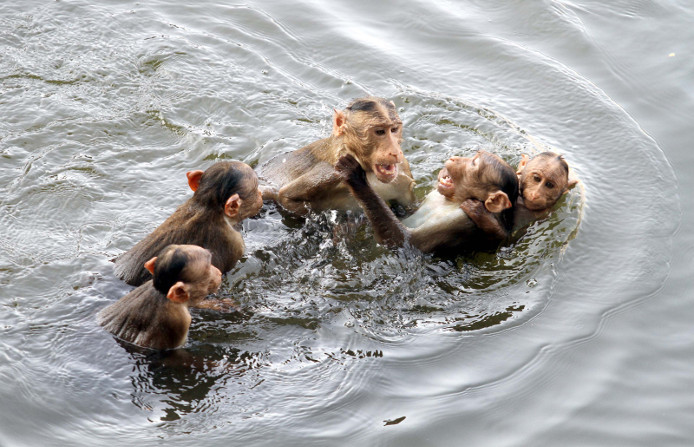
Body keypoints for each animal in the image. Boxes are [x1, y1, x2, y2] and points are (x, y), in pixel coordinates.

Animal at [260, 97, 414, 216]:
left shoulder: (403, 172)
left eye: (394, 129)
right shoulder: (329, 173)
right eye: (380, 132)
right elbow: (284, 197)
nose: (395, 152)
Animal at [334, 150, 520, 256]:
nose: (454, 158)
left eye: (474, 163)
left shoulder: (462, 219)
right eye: (472, 158)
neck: (451, 202)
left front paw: (356, 177)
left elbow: (404, 240)